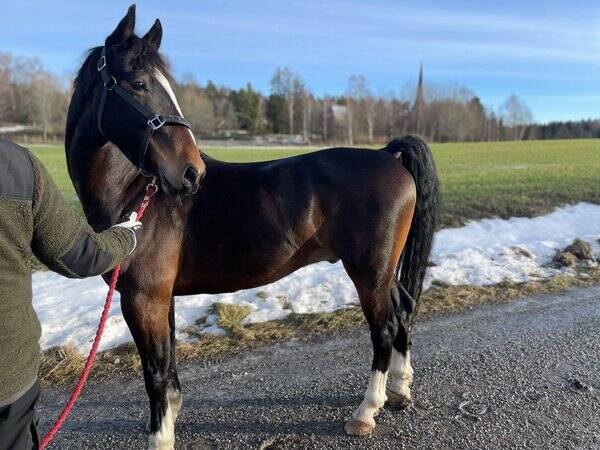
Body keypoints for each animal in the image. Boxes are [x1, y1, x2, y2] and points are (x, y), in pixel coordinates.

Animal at [65, 5, 440, 448]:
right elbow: (168, 364)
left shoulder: (143, 299)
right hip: (383, 271)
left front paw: (160, 436)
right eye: (138, 83)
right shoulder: (161, 298)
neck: (135, 193)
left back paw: (366, 411)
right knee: (404, 310)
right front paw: (170, 417)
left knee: (384, 328)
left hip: (369, 272)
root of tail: (388, 154)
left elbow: (155, 372)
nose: (192, 172)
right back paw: (399, 390)